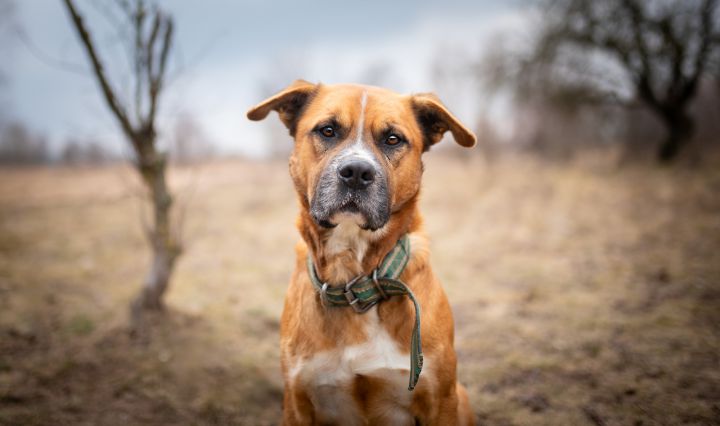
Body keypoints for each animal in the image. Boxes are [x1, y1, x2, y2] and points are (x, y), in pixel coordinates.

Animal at [247, 80, 476, 425]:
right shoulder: (297, 401)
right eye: (328, 130)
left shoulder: (441, 400)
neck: (355, 278)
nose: (356, 171)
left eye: (393, 139)